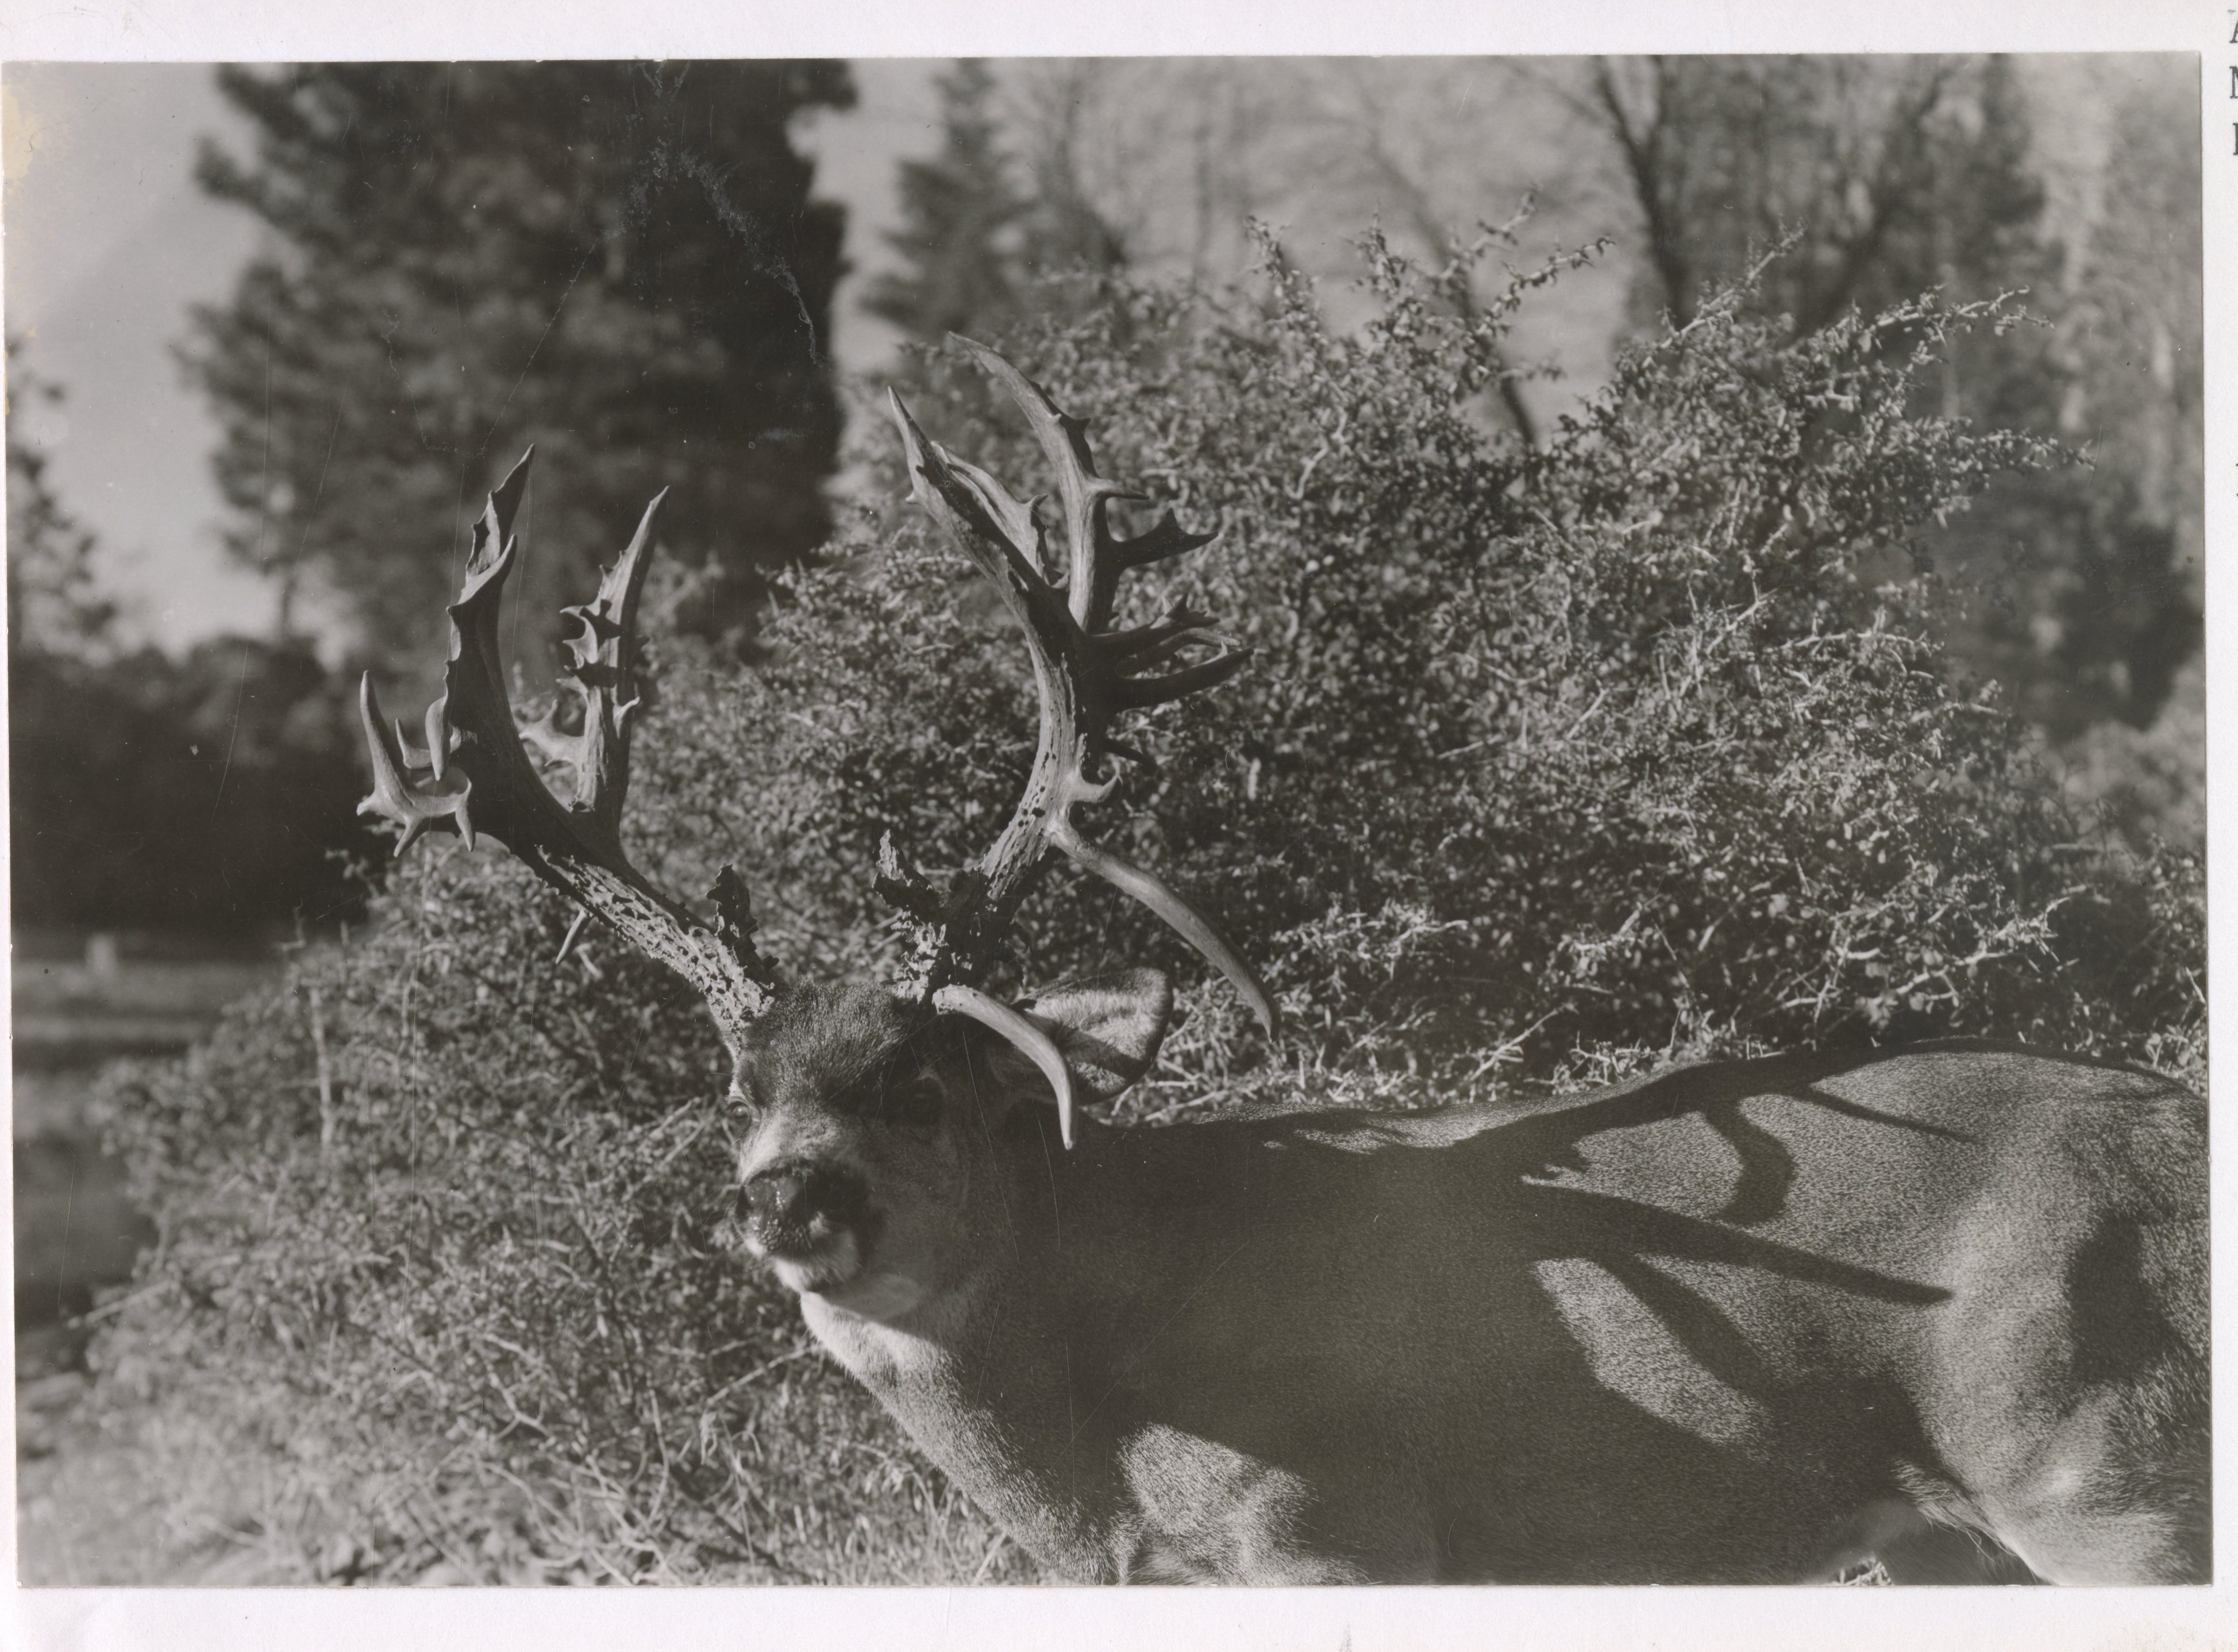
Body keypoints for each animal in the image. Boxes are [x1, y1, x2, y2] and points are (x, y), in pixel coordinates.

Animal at [358, 339, 2208, 1585]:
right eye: (734, 1086)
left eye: (924, 1077)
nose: (784, 1198)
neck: (1099, 1471)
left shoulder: (1334, 1530)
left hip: (2105, 1472)